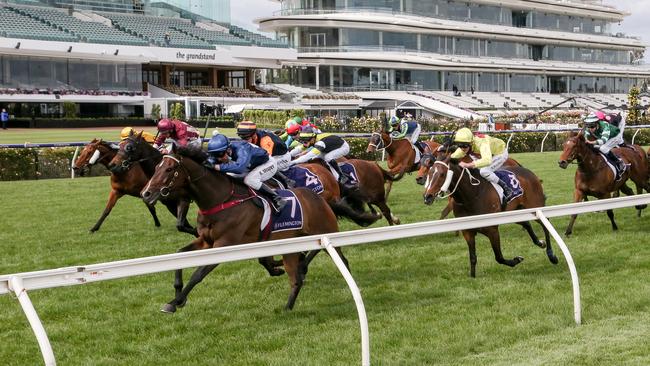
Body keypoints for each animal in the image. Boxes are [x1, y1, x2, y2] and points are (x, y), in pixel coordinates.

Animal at [140, 149, 342, 312]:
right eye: (156, 167)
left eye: (169, 169)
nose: (145, 193)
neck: (219, 200)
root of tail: (318, 197)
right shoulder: (206, 241)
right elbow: (179, 254)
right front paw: (177, 296)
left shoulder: (223, 245)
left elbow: (198, 274)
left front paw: (174, 303)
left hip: (323, 231)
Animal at [420, 146, 556, 278]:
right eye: (430, 173)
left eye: (442, 174)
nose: (427, 197)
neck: (472, 195)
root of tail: (530, 173)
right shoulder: (467, 231)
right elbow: (472, 257)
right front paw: (473, 277)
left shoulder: (492, 230)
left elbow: (499, 257)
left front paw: (517, 259)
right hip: (515, 211)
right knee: (526, 224)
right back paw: (540, 243)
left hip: (535, 207)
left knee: (545, 225)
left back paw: (551, 255)